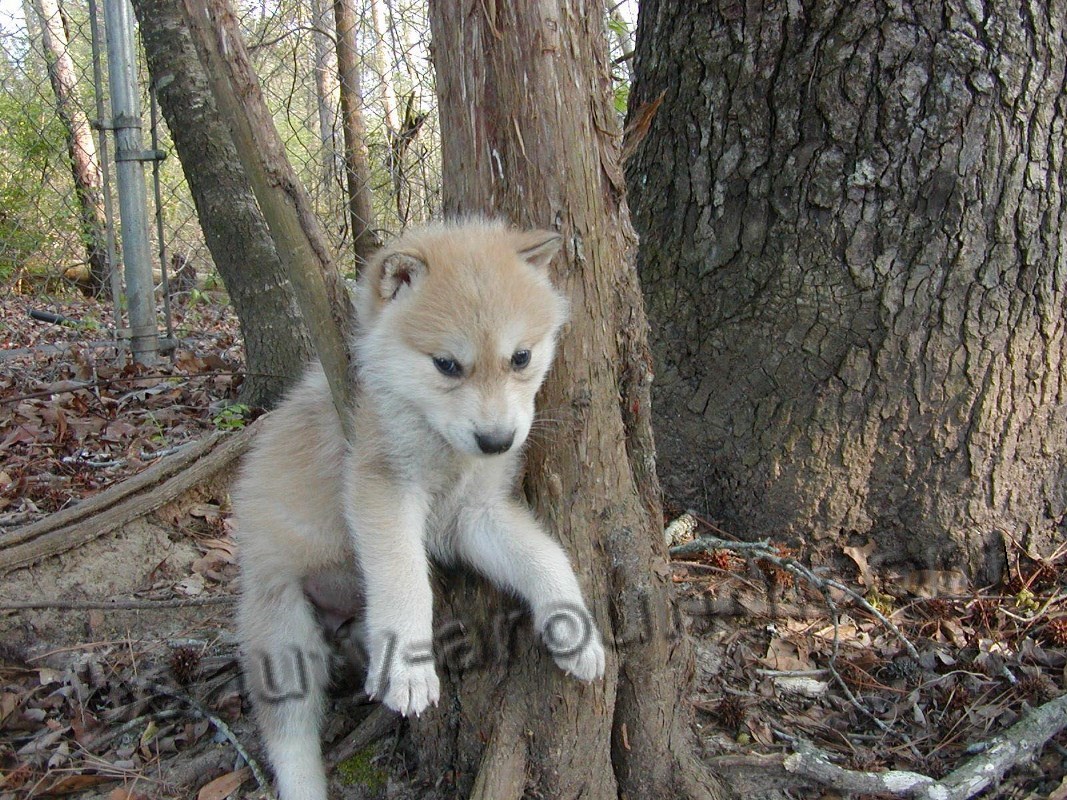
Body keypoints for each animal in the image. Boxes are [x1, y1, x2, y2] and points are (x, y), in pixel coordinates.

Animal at [234, 219, 606, 800]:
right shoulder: (383, 489)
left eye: (521, 357)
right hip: (282, 631)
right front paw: (407, 669)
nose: (497, 441)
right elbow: (404, 576)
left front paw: (575, 626)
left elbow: (544, 557)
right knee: (290, 737)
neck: (436, 440)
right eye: (447, 365)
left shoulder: (473, 516)